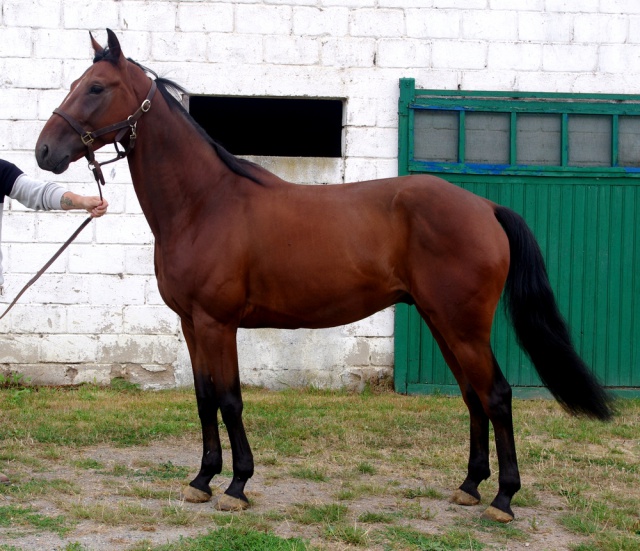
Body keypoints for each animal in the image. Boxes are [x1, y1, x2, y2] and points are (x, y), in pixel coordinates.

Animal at [32, 30, 612, 520]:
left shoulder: (218, 323)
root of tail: (485, 207)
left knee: (497, 395)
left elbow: (229, 399)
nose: (44, 151)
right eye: (75, 83)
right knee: (474, 396)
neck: (204, 204)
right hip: (442, 322)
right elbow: (203, 398)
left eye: (97, 87)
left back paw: (504, 499)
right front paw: (201, 479)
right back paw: (470, 487)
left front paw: (237, 486)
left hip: (463, 325)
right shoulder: (192, 325)